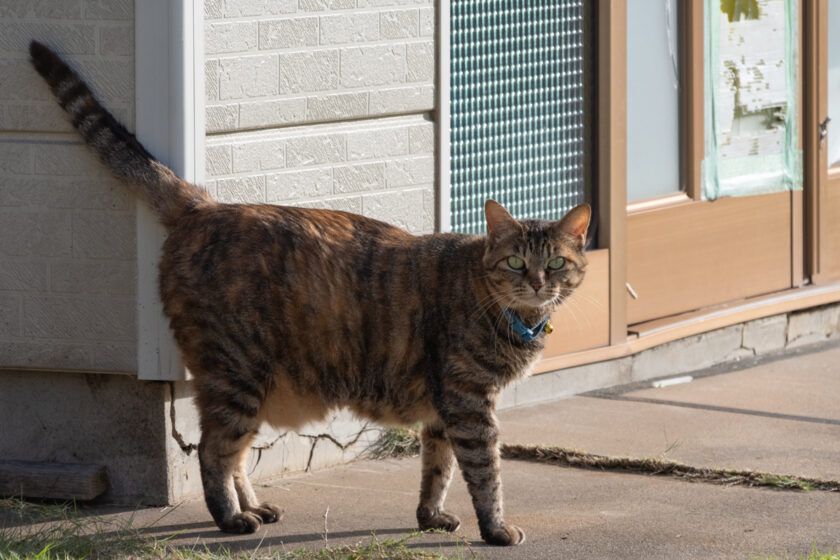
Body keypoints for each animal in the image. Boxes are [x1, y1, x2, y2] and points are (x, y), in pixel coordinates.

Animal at [27, 40, 592, 548]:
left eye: (556, 262)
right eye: (516, 261)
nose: (537, 282)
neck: (503, 310)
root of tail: (207, 206)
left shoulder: (443, 410)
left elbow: (438, 468)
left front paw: (430, 516)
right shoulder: (470, 405)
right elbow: (484, 474)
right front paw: (495, 529)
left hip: (248, 386)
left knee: (234, 453)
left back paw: (254, 506)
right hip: (237, 374)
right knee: (213, 451)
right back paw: (231, 518)